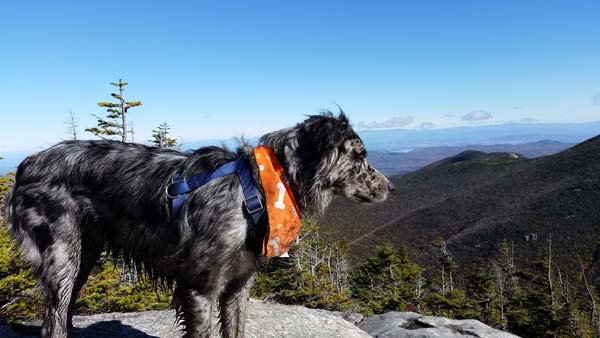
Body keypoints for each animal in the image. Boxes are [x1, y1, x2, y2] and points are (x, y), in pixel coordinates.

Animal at [5, 111, 394, 338]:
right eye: (360, 156)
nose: (391, 187)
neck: (257, 188)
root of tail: (27, 163)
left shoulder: (238, 287)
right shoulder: (200, 289)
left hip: (85, 254)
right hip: (62, 257)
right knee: (53, 321)